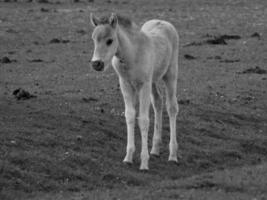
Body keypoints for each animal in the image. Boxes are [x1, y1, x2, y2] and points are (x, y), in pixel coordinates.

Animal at [90, 13, 180, 170]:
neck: (132, 55)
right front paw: (128, 157)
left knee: (172, 107)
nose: (96, 64)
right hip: (153, 81)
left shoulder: (144, 85)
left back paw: (173, 155)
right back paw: (155, 149)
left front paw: (144, 163)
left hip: (170, 75)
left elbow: (143, 120)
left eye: (110, 40)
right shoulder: (125, 84)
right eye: (93, 39)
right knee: (158, 102)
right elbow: (130, 116)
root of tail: (164, 22)